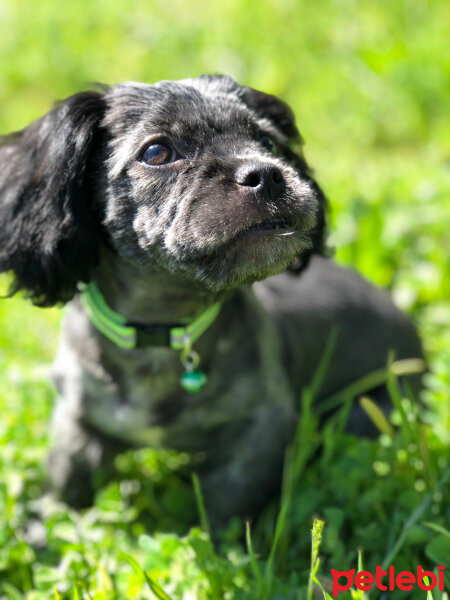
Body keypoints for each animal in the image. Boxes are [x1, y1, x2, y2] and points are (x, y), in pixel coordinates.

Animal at [0, 77, 422, 528]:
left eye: (267, 142)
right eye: (156, 152)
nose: (266, 174)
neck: (164, 331)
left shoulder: (258, 431)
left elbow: (226, 508)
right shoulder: (77, 422)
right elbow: (65, 487)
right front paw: (43, 531)